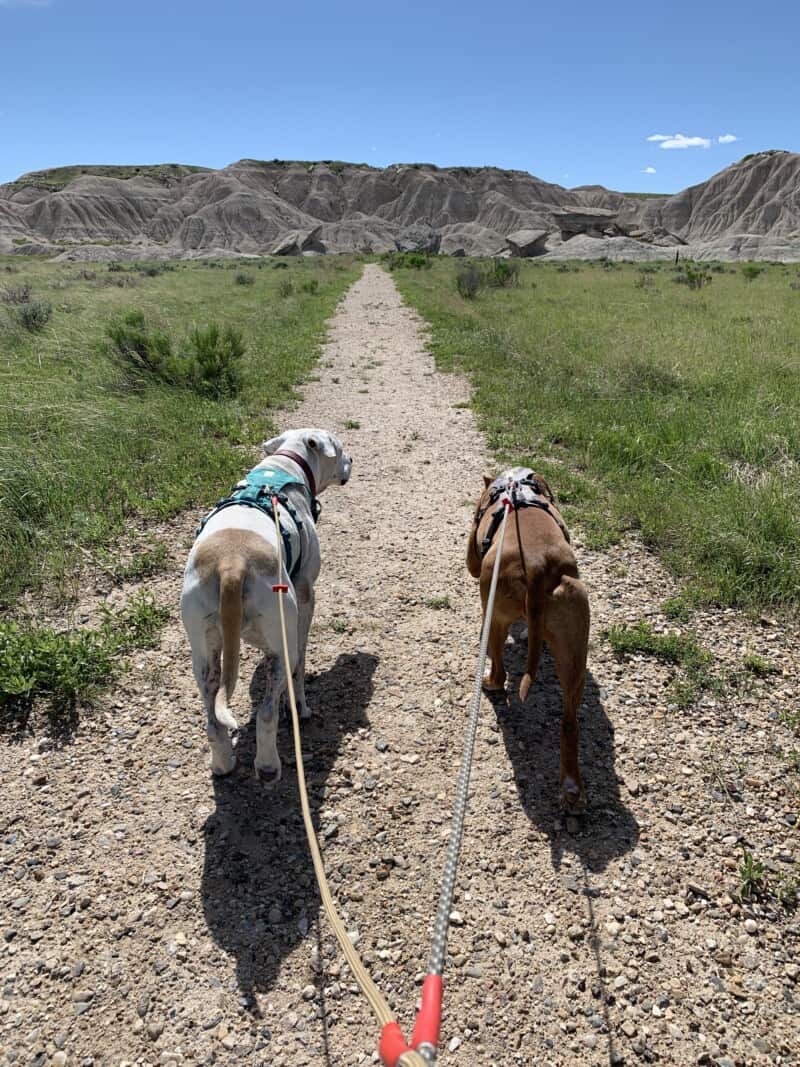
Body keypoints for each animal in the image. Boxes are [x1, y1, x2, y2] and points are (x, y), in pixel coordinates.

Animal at [181, 426, 349, 785]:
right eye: (341, 449)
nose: (351, 461)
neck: (284, 466)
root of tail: (231, 564)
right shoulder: (305, 597)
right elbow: (299, 670)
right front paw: (300, 707)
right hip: (280, 641)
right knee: (267, 713)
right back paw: (270, 766)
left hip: (203, 654)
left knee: (213, 722)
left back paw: (222, 764)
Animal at [469, 467, 588, 806]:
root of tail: (536, 564)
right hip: (575, 652)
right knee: (569, 722)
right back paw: (571, 787)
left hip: (493, 613)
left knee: (499, 671)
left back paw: (489, 682)